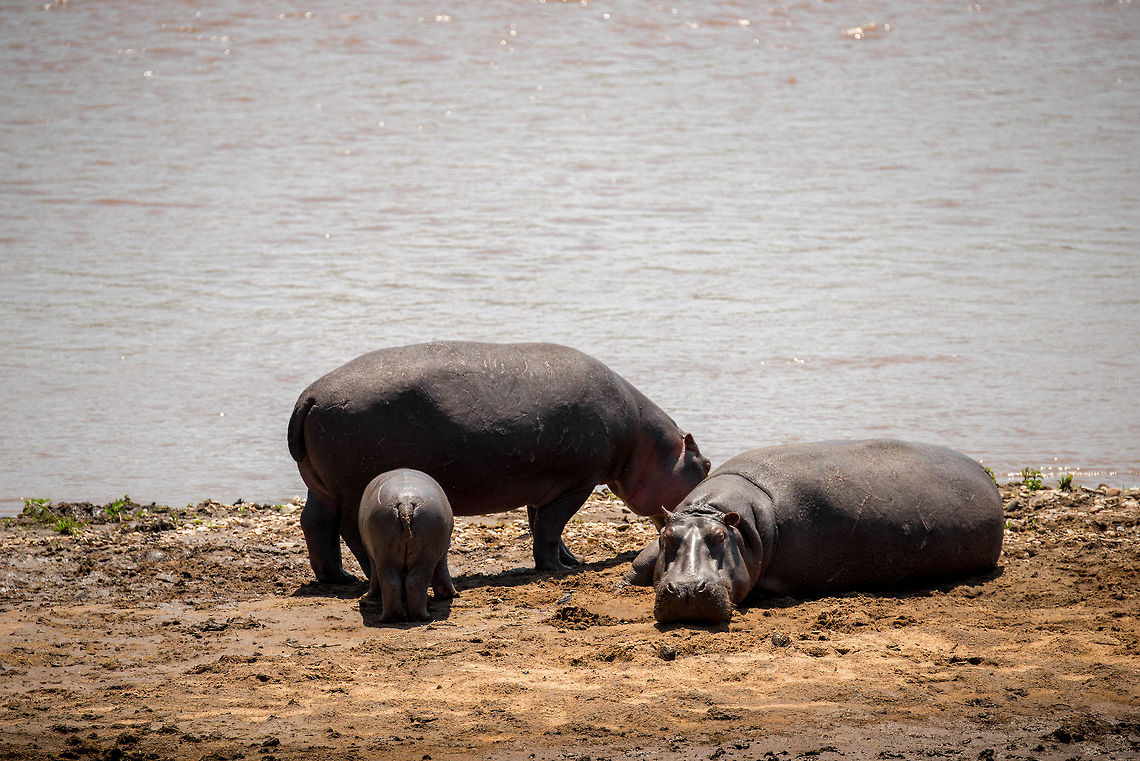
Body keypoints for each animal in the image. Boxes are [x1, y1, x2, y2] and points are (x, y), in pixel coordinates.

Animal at [288, 341, 711, 582]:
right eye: (705, 466)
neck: (641, 441)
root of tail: (309, 395)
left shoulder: (545, 486)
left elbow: (542, 526)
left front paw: (569, 561)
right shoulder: (578, 482)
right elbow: (550, 528)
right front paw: (560, 570)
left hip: (321, 486)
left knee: (315, 523)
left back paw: (339, 578)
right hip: (352, 487)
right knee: (348, 530)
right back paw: (360, 574)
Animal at [358, 469, 455, 622]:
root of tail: (405, 503)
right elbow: (442, 572)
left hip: (389, 558)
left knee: (395, 581)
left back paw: (399, 617)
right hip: (413, 558)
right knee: (406, 581)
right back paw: (409, 616)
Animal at [628, 439, 1004, 623]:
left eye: (720, 538)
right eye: (667, 538)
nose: (687, 589)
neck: (713, 512)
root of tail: (985, 475)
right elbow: (641, 560)